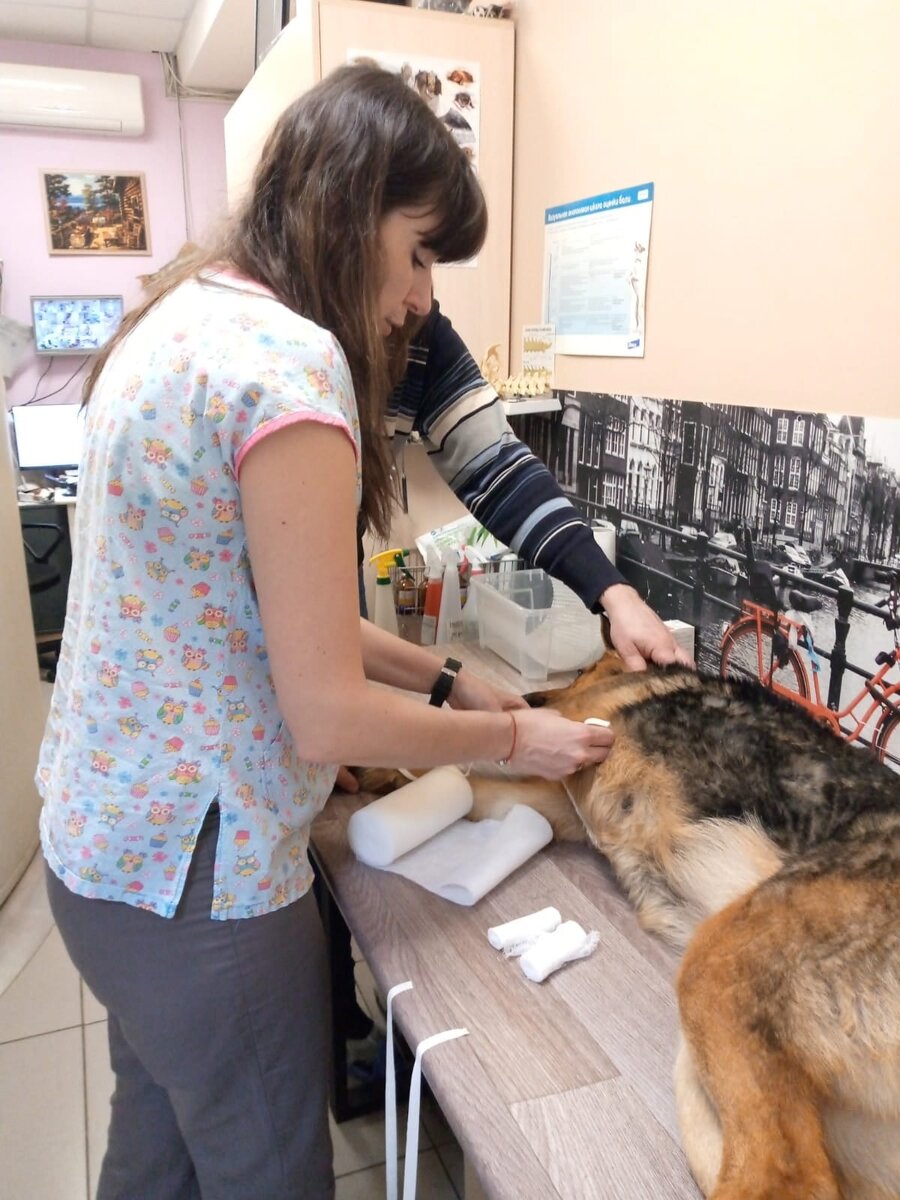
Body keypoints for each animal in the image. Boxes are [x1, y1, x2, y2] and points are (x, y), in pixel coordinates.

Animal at [360, 657, 900, 1200]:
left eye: (580, 671)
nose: (530, 699)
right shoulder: (562, 804)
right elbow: (472, 785)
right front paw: (382, 776)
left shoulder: (581, 742)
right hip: (711, 1063)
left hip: (720, 962)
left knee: (788, 1176)